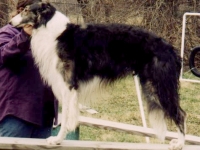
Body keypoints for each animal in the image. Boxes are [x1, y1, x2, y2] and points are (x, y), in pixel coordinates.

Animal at [10, 1, 186, 149]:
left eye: (26, 10)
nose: (10, 22)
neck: (54, 33)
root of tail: (171, 49)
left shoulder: (68, 85)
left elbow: (65, 117)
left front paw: (57, 140)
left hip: (160, 87)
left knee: (181, 114)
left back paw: (180, 143)